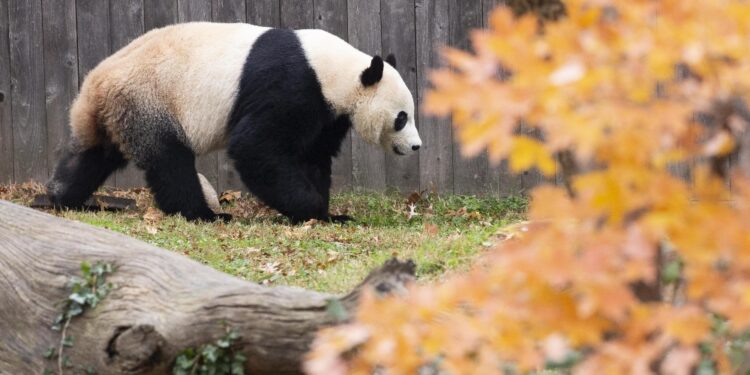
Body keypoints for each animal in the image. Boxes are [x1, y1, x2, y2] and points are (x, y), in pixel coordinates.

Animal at [45, 22, 424, 223]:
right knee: (171, 162)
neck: (336, 70)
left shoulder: (325, 109)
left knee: (93, 157)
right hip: (149, 101)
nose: (417, 146)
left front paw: (327, 214)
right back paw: (204, 214)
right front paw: (311, 209)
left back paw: (63, 198)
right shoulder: (292, 84)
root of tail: (94, 85)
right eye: (402, 117)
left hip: (120, 112)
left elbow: (313, 156)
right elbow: (256, 148)